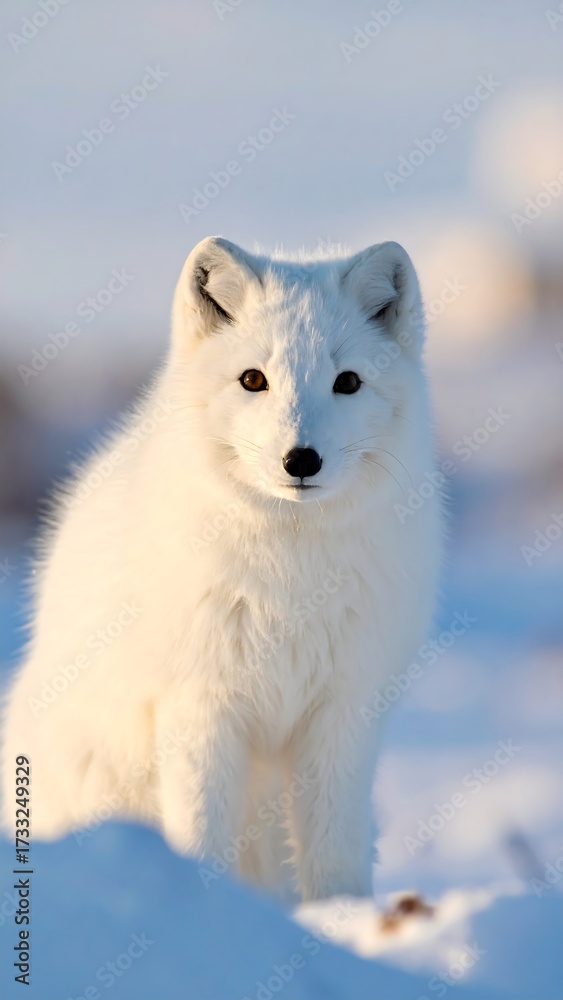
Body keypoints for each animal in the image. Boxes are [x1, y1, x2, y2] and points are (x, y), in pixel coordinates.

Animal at [1, 236, 441, 901]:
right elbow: (200, 833)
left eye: (348, 382)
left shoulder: (343, 712)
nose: (301, 459)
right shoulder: (200, 706)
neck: (291, 578)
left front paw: (344, 916)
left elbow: (333, 851)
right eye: (253, 380)